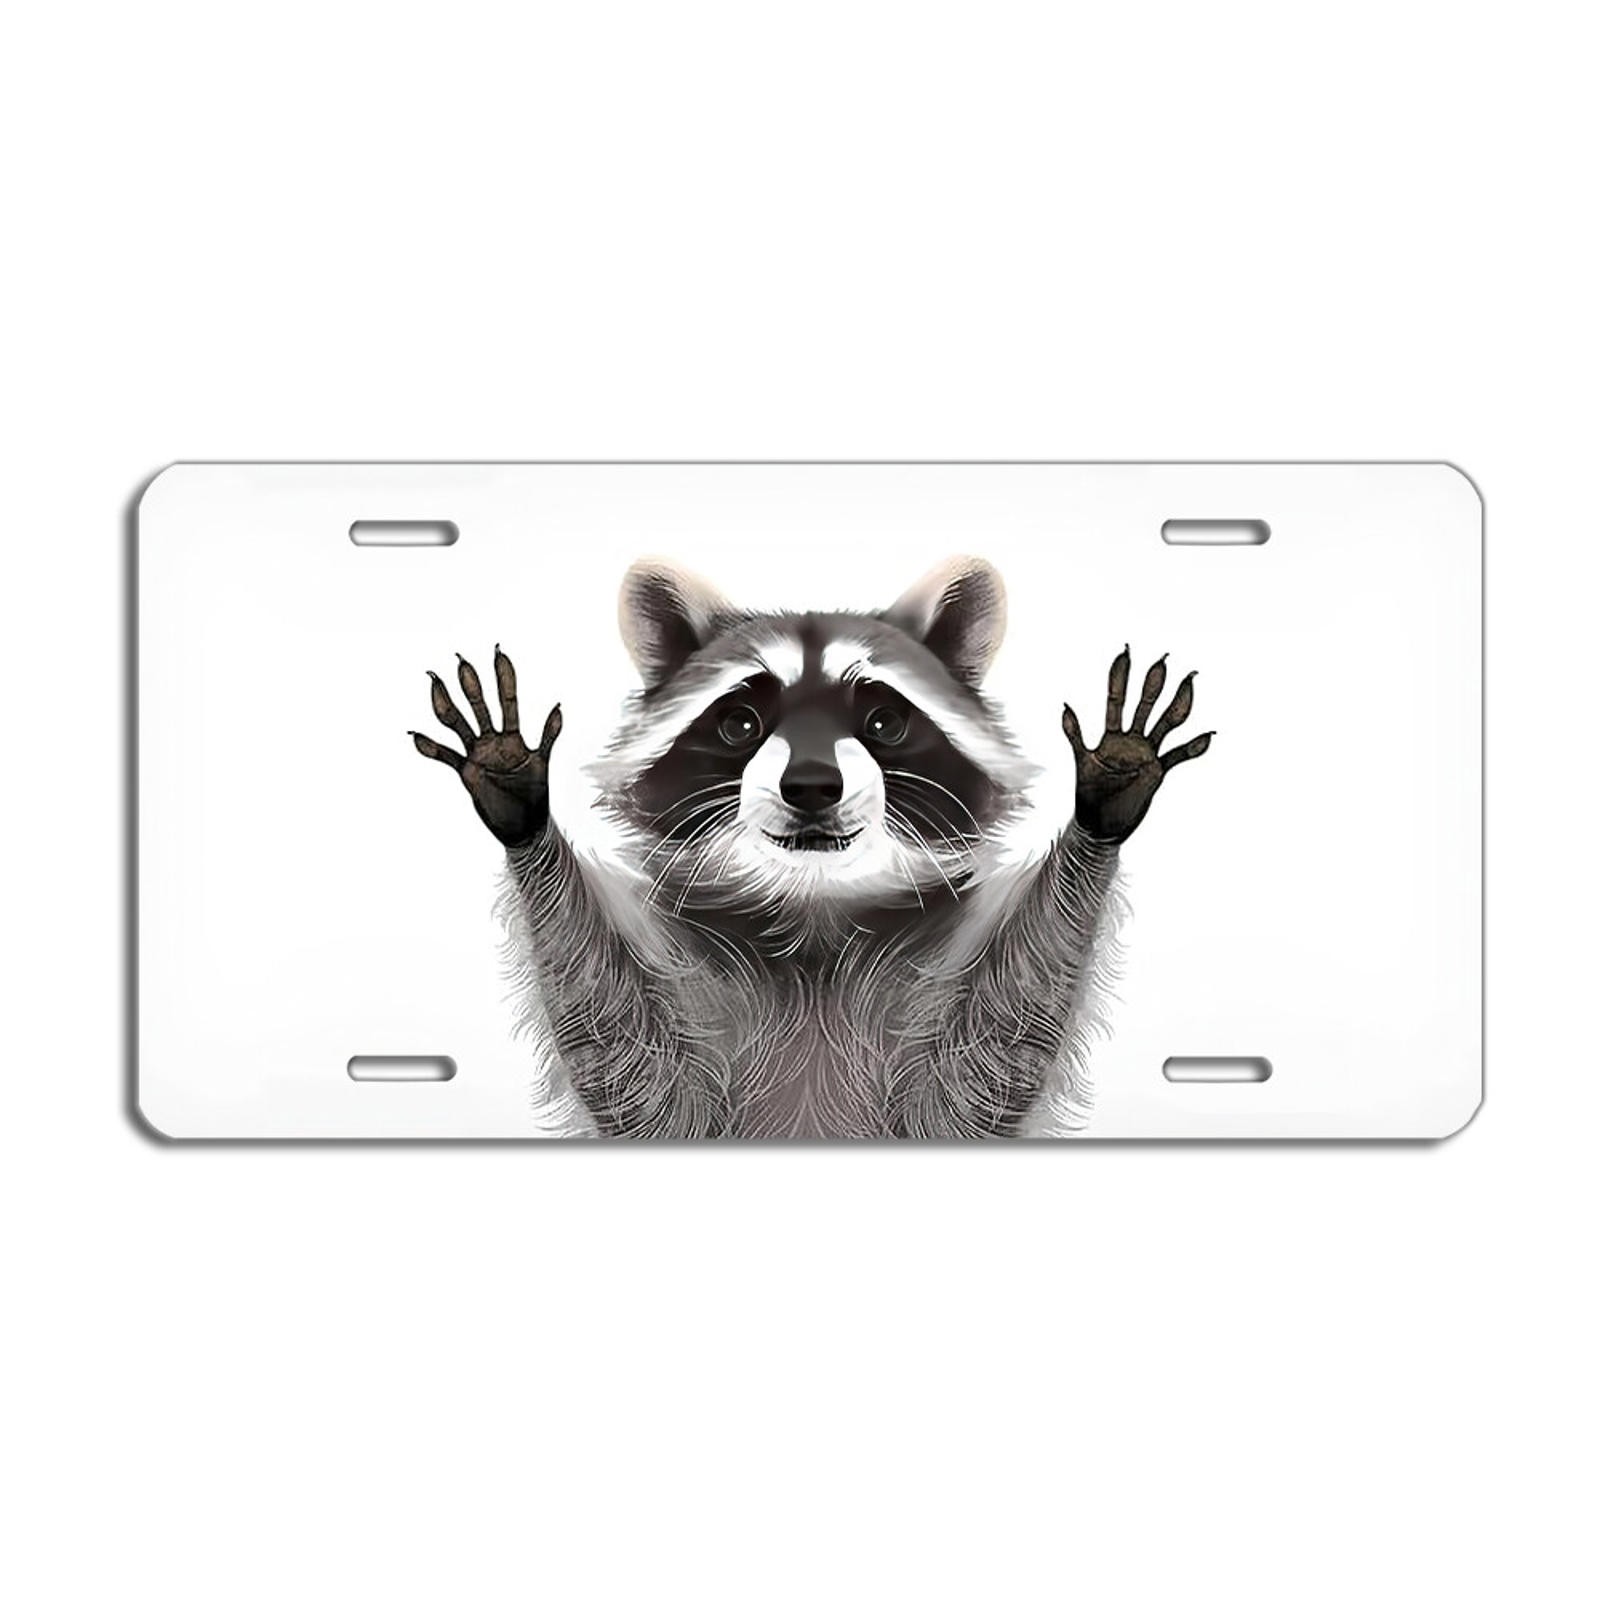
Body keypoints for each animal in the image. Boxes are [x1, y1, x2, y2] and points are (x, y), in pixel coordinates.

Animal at [411, 556, 1212, 1138]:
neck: (812, 910)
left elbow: (980, 1071)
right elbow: (640, 1075)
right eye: (739, 723)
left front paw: (1102, 806)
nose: (812, 786)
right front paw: (522, 809)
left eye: (886, 722)